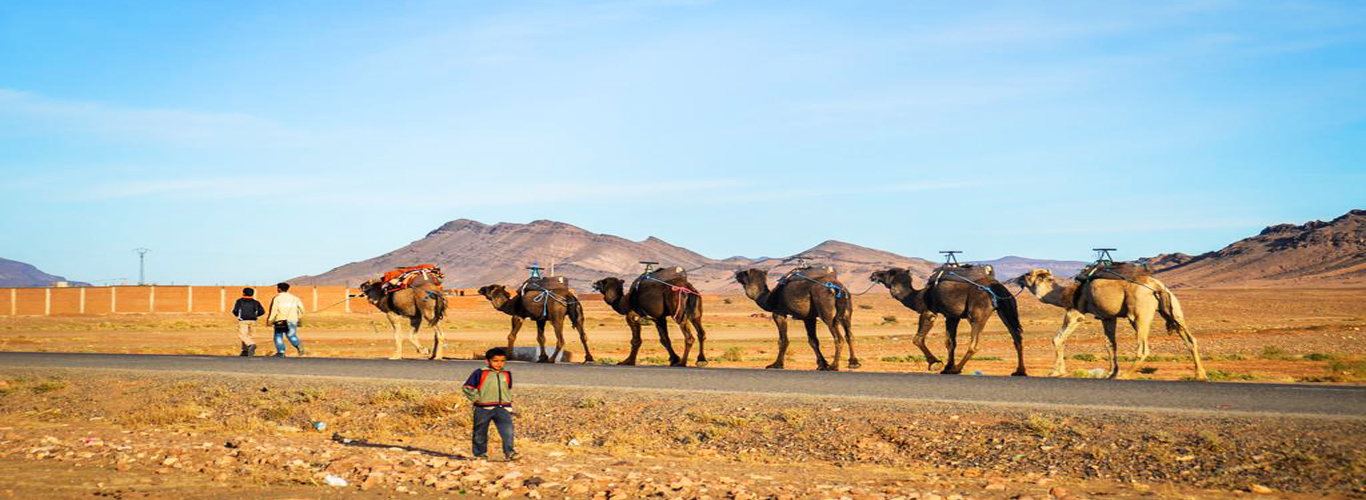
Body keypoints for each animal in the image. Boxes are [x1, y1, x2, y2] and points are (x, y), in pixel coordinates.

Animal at [874, 265, 1027, 374]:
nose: (874, 274)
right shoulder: (952, 316)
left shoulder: (929, 312)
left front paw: (935, 363)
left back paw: (957, 369)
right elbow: (950, 342)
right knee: (1017, 337)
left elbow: (917, 339)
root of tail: (997, 288)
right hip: (1007, 309)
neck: (916, 296)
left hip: (977, 312)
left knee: (974, 344)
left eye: (889, 272)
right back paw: (1019, 371)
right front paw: (947, 366)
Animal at [1010, 269, 1213, 379]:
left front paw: (1056, 371)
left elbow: (1057, 339)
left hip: (1139, 313)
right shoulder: (1107, 317)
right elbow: (1110, 344)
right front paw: (1111, 373)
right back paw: (1200, 374)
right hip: (1172, 308)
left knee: (1143, 346)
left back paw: (1127, 375)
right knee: (1189, 338)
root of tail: (1157, 286)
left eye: (1027, 274)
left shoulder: (1076, 312)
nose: (1014, 279)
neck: (1065, 294)